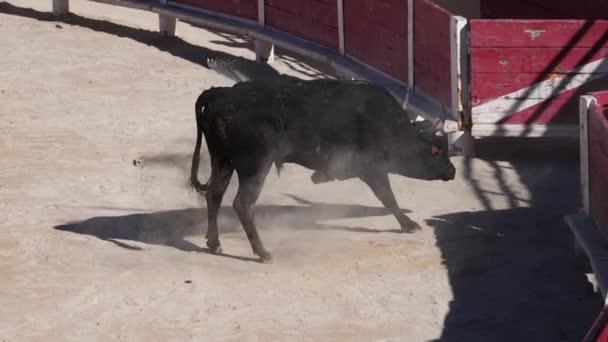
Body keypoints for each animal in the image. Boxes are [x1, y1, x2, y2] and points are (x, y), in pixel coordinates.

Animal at [190, 79, 456, 262]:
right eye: (437, 149)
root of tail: (221, 93)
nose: (452, 172)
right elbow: (387, 196)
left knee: (214, 195)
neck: (390, 126)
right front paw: (408, 223)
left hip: (223, 160)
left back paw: (214, 243)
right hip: (256, 166)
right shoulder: (372, 168)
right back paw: (263, 252)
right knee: (243, 204)